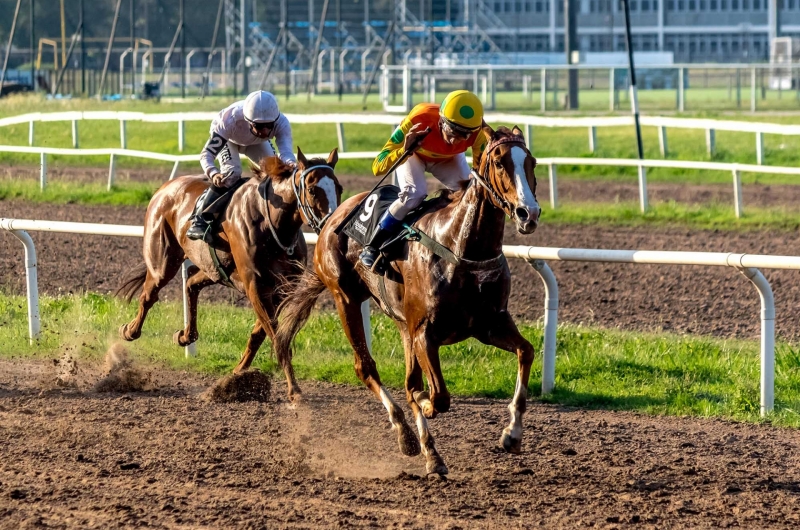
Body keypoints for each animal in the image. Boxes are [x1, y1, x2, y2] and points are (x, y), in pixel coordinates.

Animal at [117, 148, 342, 372]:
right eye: (312, 190)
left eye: (339, 188)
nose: (331, 226)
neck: (275, 227)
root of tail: (165, 187)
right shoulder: (256, 286)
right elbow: (274, 335)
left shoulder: (281, 288)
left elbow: (260, 332)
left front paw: (240, 370)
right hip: (163, 260)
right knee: (149, 295)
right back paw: (130, 330)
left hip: (214, 270)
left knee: (190, 282)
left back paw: (185, 335)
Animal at [272, 126, 540, 472]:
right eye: (498, 161)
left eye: (531, 161)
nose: (528, 213)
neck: (460, 246)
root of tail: (332, 218)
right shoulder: (425, 333)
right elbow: (435, 395)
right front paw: (423, 407)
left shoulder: (489, 323)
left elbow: (526, 351)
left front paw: (512, 433)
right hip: (346, 298)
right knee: (366, 367)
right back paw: (408, 435)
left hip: (402, 323)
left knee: (407, 375)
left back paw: (429, 451)